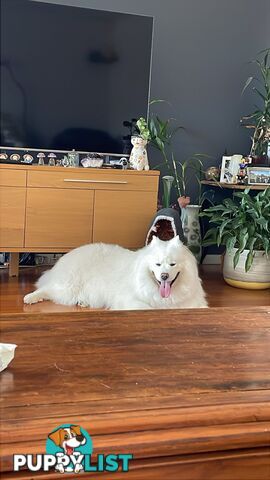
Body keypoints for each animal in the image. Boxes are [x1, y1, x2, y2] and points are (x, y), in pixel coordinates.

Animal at [24, 237, 208, 312]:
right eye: (157, 264)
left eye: (172, 264)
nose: (164, 276)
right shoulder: (131, 300)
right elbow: (147, 308)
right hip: (68, 288)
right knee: (47, 289)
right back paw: (30, 298)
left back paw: (83, 302)